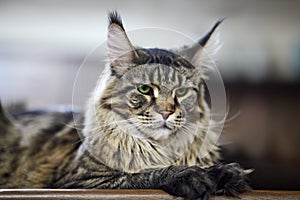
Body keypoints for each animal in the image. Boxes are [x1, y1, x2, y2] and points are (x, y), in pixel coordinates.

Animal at [0, 11, 251, 199]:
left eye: (180, 92)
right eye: (145, 89)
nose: (167, 112)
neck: (163, 149)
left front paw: (226, 174)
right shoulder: (81, 181)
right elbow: (142, 175)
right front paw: (190, 176)